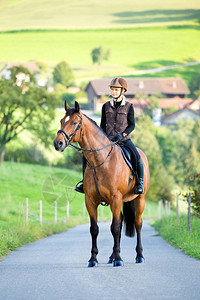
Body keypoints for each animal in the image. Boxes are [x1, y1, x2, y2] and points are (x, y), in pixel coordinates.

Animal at [54, 101, 149, 268]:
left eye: (74, 123)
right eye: (61, 121)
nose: (57, 143)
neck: (101, 161)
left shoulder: (116, 199)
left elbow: (115, 228)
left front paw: (119, 259)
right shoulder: (90, 201)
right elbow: (95, 229)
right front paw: (93, 259)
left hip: (139, 200)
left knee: (137, 224)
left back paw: (139, 255)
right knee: (121, 221)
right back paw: (111, 256)